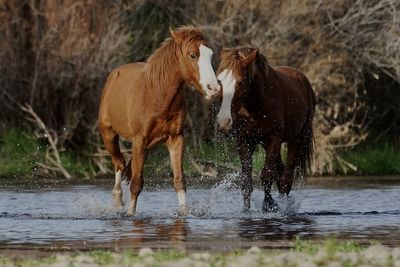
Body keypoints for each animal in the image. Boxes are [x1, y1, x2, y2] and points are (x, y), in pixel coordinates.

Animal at [98, 26, 220, 217]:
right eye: (192, 55)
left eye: (210, 54)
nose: (213, 89)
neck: (157, 95)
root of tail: (114, 75)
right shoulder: (139, 140)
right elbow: (136, 183)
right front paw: (130, 213)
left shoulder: (176, 138)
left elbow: (179, 180)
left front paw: (184, 212)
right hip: (109, 134)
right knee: (119, 163)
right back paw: (118, 201)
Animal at [216, 46, 316, 214]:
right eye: (219, 81)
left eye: (240, 82)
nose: (224, 121)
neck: (256, 104)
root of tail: (303, 80)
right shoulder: (244, 141)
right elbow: (247, 181)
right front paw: (246, 210)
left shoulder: (273, 139)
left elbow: (266, 176)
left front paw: (268, 206)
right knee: (281, 173)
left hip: (297, 139)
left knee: (286, 177)